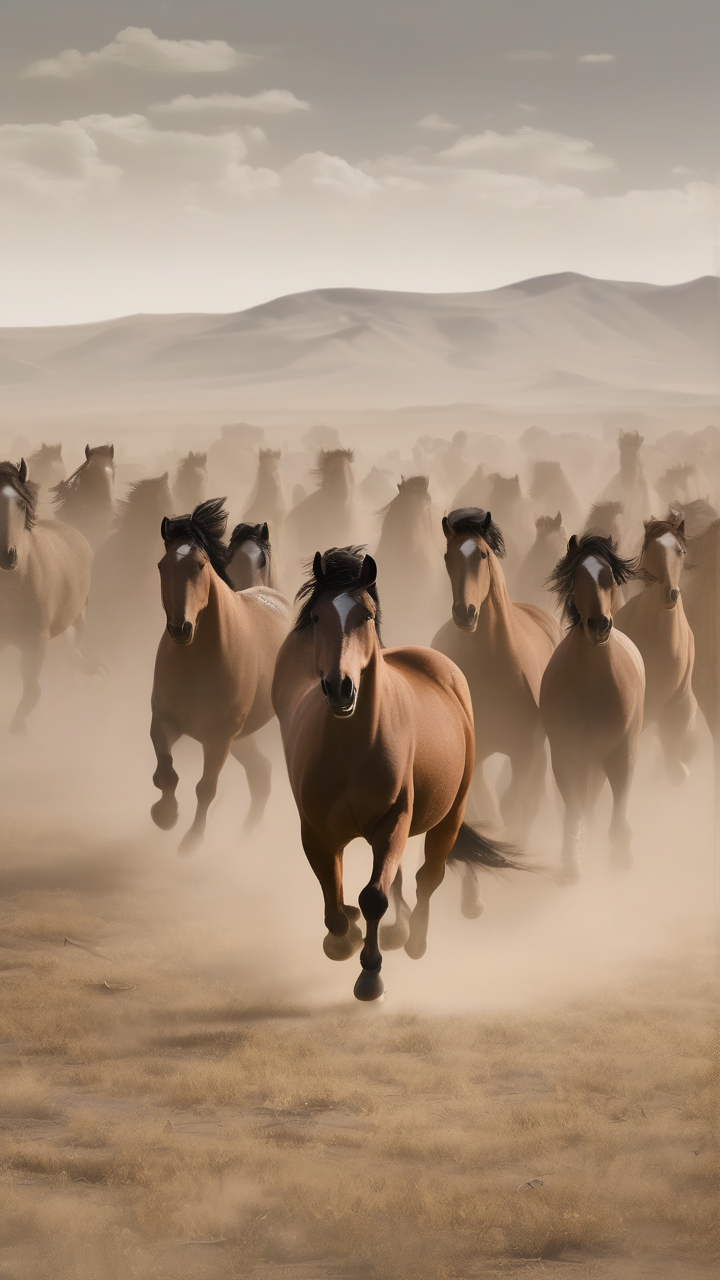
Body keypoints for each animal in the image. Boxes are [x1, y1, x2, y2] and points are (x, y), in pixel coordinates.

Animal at [150, 499, 290, 851]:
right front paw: (165, 814)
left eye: (200, 565)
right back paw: (246, 833)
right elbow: (166, 772)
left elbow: (206, 787)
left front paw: (192, 840)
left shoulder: (219, 738)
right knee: (261, 772)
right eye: (161, 566)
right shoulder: (164, 720)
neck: (198, 661)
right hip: (243, 738)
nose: (181, 628)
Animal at [271, 547, 523, 1001]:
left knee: (428, 876)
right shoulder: (316, 831)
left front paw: (370, 976)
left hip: (451, 814)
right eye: (316, 616)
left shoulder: (393, 822)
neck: (350, 750)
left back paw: (414, 939)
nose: (340, 687)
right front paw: (343, 939)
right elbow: (334, 903)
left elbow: (373, 896)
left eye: (367, 616)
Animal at [432, 509, 560, 839]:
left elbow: (516, 806)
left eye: (483, 554)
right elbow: (483, 808)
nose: (465, 612)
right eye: (448, 556)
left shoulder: (527, 753)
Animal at [540, 534, 644, 883]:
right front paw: (571, 863)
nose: (599, 625)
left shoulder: (623, 750)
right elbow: (574, 808)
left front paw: (622, 855)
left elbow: (621, 802)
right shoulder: (566, 755)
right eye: (577, 578)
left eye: (608, 576)